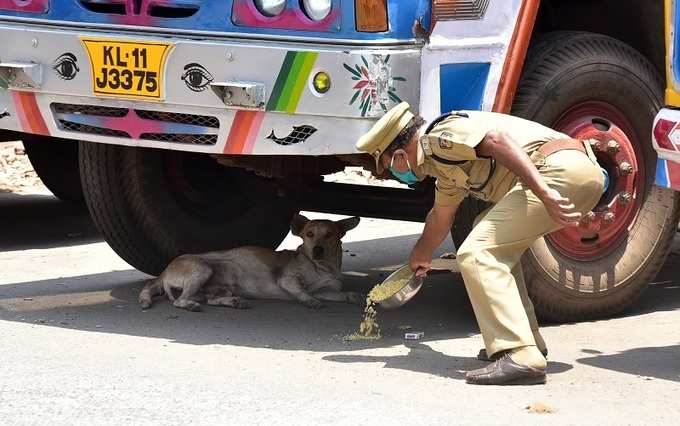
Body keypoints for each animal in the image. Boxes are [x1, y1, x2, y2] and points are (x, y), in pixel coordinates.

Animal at [135, 215, 364, 312]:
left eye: (329, 235)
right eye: (309, 234)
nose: (318, 249)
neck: (323, 267)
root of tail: (164, 272)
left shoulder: (326, 290)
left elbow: (343, 295)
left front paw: (356, 297)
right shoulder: (287, 280)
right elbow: (302, 291)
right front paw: (310, 301)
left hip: (218, 288)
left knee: (211, 300)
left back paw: (233, 302)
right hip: (202, 269)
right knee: (180, 301)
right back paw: (191, 305)